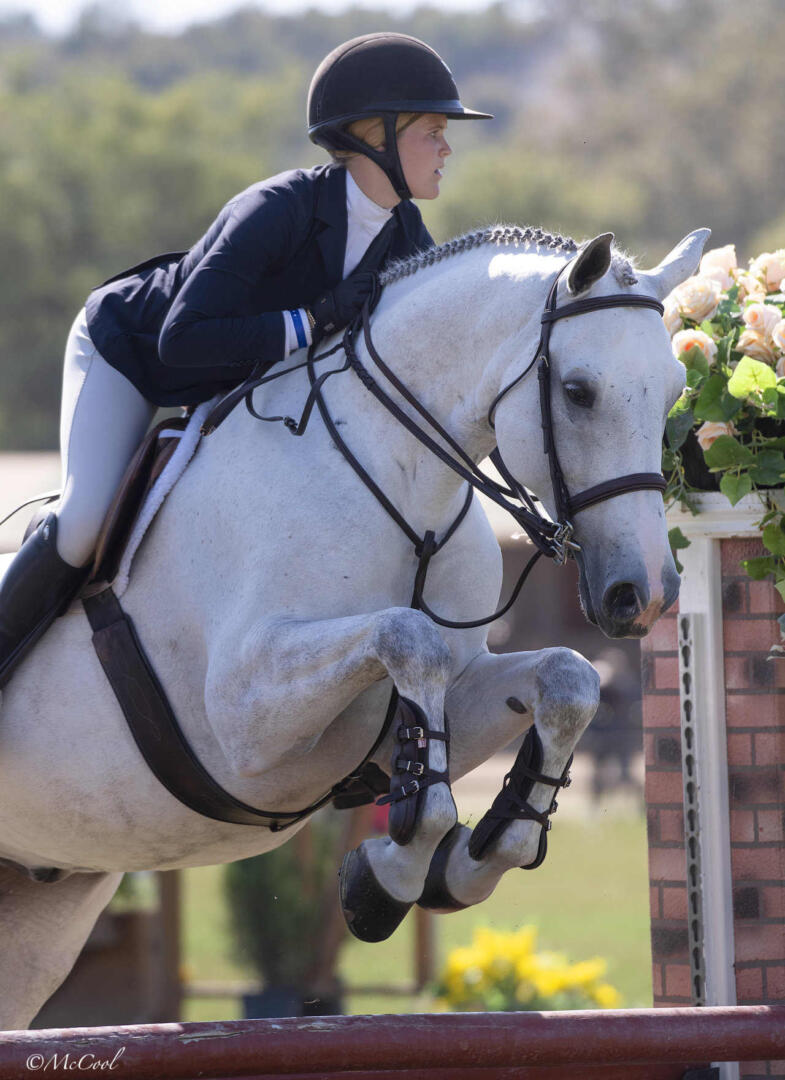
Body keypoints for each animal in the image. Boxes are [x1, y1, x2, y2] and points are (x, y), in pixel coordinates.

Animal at [0, 223, 708, 1023]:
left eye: (674, 392)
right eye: (578, 391)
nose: (643, 593)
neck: (399, 480)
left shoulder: (439, 691)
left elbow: (567, 678)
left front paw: (470, 857)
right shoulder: (241, 721)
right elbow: (407, 637)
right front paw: (390, 877)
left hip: (45, 905)